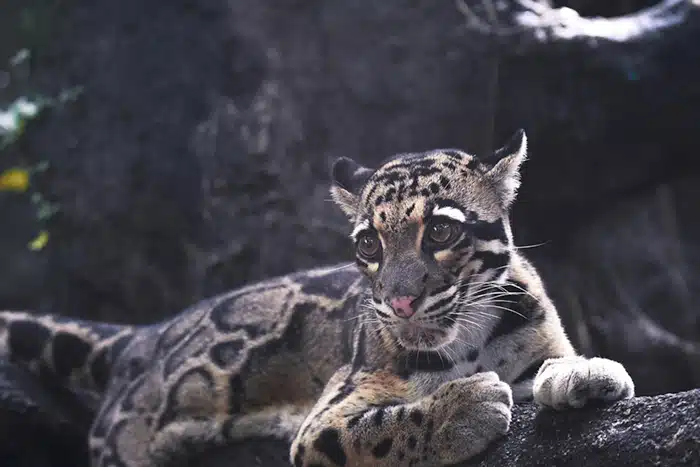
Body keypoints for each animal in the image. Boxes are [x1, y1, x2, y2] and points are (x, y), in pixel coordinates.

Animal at [0, 129, 634, 467]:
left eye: (440, 231)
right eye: (368, 243)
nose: (400, 303)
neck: (469, 342)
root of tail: (143, 333)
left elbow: (550, 363)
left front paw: (584, 373)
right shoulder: (324, 419)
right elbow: (376, 431)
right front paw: (463, 408)